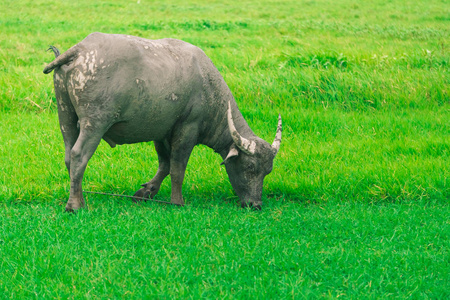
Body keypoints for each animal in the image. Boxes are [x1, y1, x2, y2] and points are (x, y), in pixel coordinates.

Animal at [43, 32, 282, 211]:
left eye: (268, 170)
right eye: (250, 167)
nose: (255, 205)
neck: (208, 87)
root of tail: (80, 49)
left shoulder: (162, 131)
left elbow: (164, 164)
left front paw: (146, 191)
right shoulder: (188, 129)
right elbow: (177, 167)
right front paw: (177, 201)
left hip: (65, 115)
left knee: (68, 155)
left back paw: (79, 198)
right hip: (95, 122)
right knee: (79, 155)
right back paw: (75, 206)